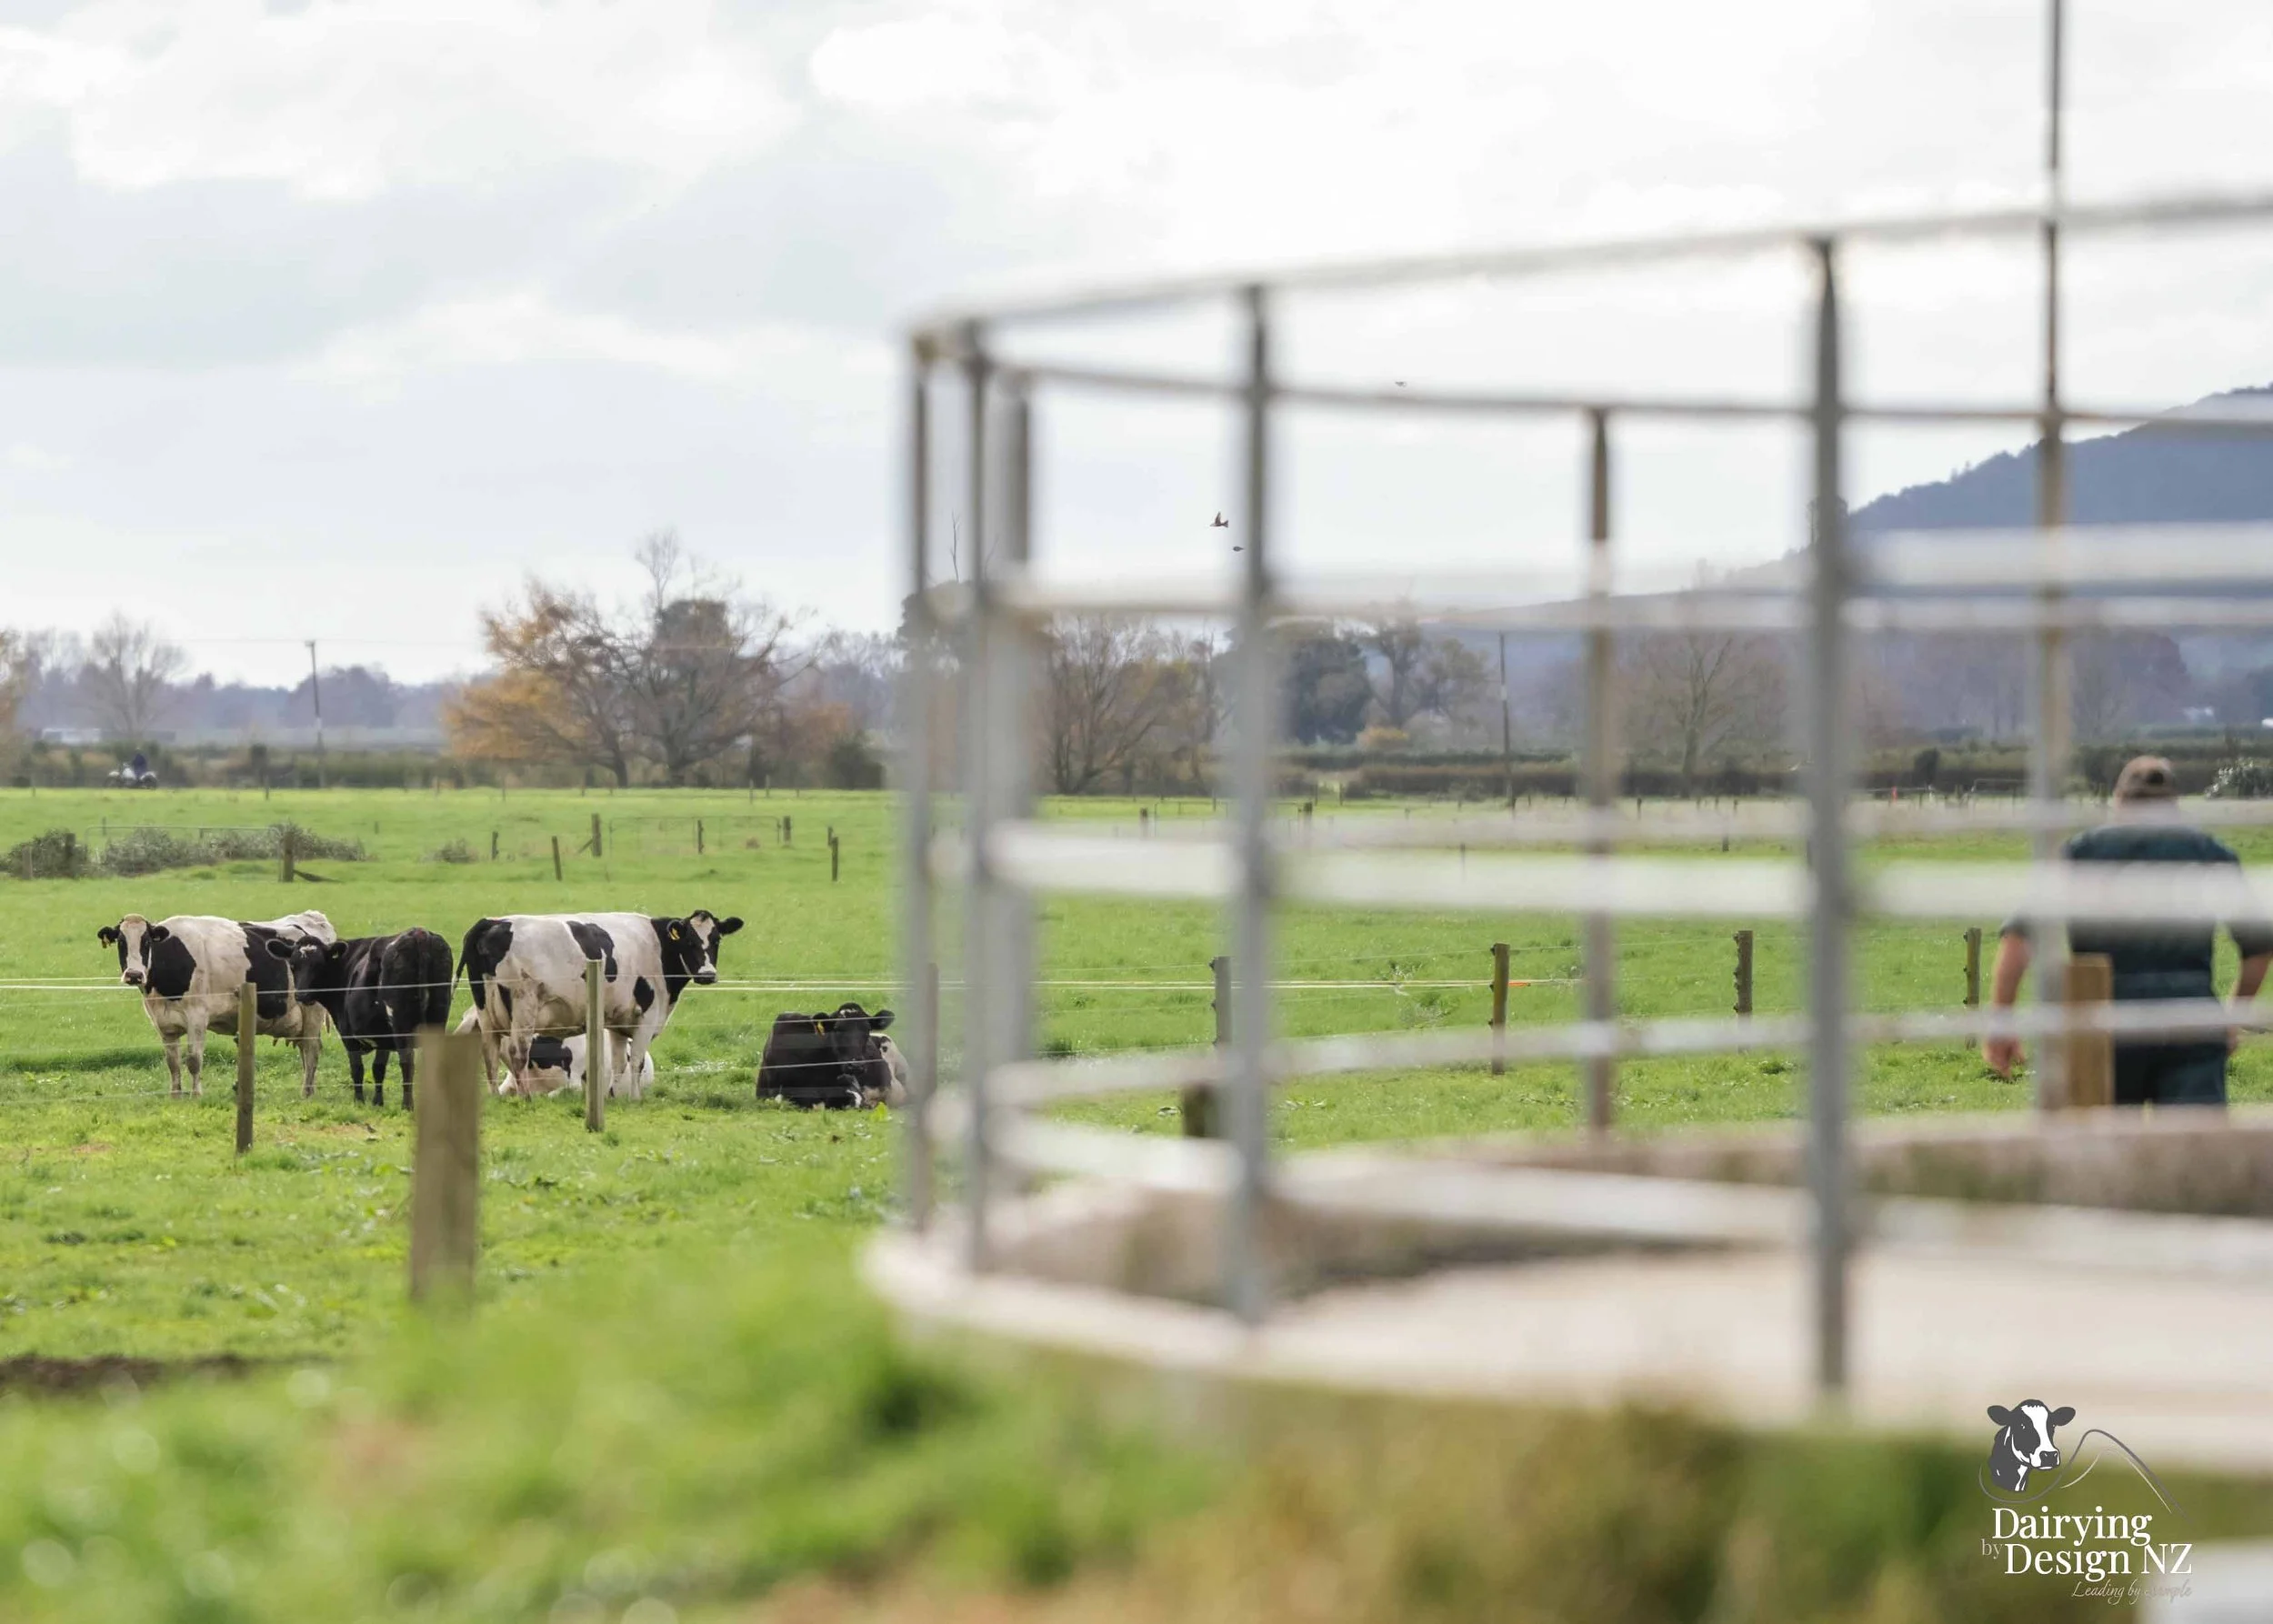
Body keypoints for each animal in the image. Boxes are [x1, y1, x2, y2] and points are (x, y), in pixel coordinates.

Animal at [96, 911, 338, 1097]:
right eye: (121, 942)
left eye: (146, 942)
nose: (134, 975)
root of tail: (313, 918)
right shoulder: (164, 1023)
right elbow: (172, 1062)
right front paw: (175, 1095)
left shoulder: (197, 1016)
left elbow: (193, 1059)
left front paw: (196, 1095)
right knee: (305, 1050)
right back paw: (309, 1089)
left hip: (312, 1010)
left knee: (311, 1050)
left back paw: (306, 1092)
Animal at [282, 929, 453, 1109]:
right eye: (292, 965)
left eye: (319, 965)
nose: (302, 995)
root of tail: (418, 933)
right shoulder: (383, 1036)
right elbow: (378, 1068)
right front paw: (378, 1102)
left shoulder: (348, 1035)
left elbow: (357, 1068)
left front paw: (359, 1101)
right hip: (437, 1017)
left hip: (401, 1024)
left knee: (407, 1061)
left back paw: (407, 1106)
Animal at [457, 910, 742, 1097]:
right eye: (690, 941)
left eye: (716, 940)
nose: (707, 975)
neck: (657, 946)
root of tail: (493, 922)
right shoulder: (646, 1016)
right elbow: (636, 1061)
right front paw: (635, 1099)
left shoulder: (617, 1022)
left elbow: (618, 1064)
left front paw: (614, 1097)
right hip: (523, 1006)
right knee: (518, 1053)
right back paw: (526, 1098)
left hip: (486, 1012)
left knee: (490, 1054)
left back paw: (495, 1097)